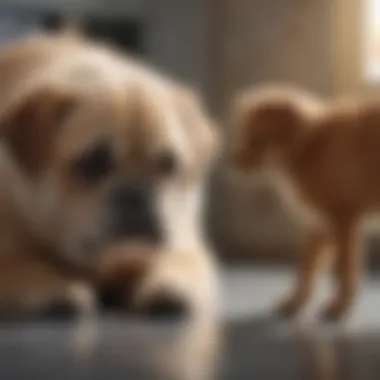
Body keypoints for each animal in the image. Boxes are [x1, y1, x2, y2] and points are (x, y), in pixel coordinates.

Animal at [0, 34, 220, 320]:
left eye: (169, 164)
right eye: (94, 162)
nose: (136, 193)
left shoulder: (186, 245)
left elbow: (177, 262)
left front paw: (170, 287)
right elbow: (22, 267)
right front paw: (56, 287)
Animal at [230, 85, 380, 320]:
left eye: (256, 139)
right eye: (241, 134)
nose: (231, 162)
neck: (310, 144)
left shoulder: (343, 219)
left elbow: (343, 268)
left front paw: (338, 307)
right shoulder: (318, 223)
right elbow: (307, 267)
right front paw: (295, 303)